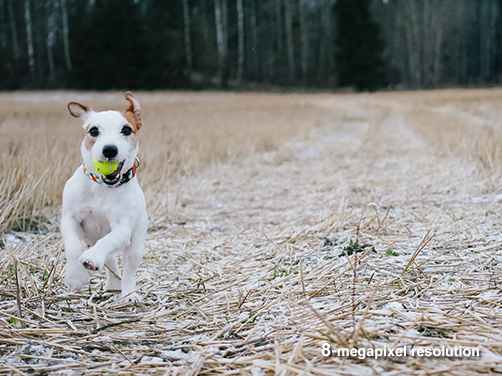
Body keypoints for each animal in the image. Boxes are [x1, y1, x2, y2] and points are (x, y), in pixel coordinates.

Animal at [61, 92, 147, 302]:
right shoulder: (69, 218)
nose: (109, 149)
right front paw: (76, 276)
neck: (102, 187)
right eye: (93, 131)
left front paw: (91, 258)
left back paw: (128, 294)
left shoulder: (122, 228)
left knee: (129, 269)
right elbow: (73, 246)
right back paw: (112, 285)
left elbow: (106, 242)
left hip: (136, 244)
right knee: (110, 260)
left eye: (126, 130)